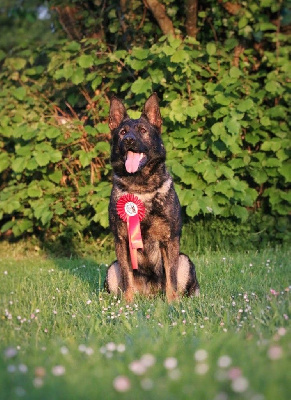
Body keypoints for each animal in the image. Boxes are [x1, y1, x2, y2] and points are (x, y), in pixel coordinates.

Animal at [105, 92, 201, 302]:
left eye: (142, 130)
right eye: (122, 132)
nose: (129, 140)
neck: (141, 189)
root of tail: (150, 294)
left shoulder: (169, 240)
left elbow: (171, 277)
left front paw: (172, 303)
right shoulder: (122, 241)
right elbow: (127, 277)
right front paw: (128, 304)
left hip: (184, 260)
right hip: (112, 268)